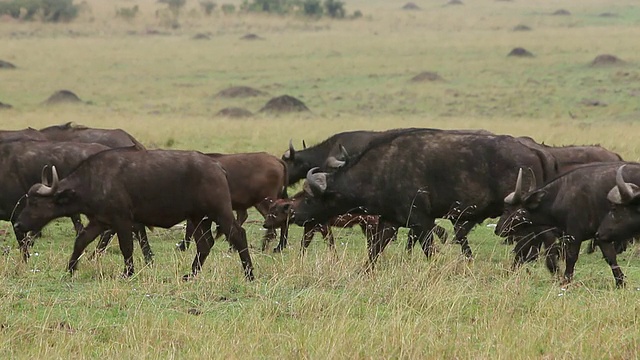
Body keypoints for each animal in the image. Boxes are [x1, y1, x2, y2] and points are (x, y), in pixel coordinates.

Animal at [12, 148, 252, 280]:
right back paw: (190, 274)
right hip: (198, 218)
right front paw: (70, 269)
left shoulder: (123, 221)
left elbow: (126, 247)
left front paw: (128, 272)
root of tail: (217, 167)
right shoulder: (99, 221)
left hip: (219, 212)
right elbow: (80, 241)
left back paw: (249, 274)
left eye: (35, 202)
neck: (93, 181)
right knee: (205, 244)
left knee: (238, 235)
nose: (18, 225)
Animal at [496, 163, 632, 286]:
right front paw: (620, 283)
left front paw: (565, 280)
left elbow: (569, 258)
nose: (497, 229)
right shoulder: (599, 236)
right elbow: (610, 257)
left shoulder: (572, 235)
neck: (559, 198)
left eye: (507, 209)